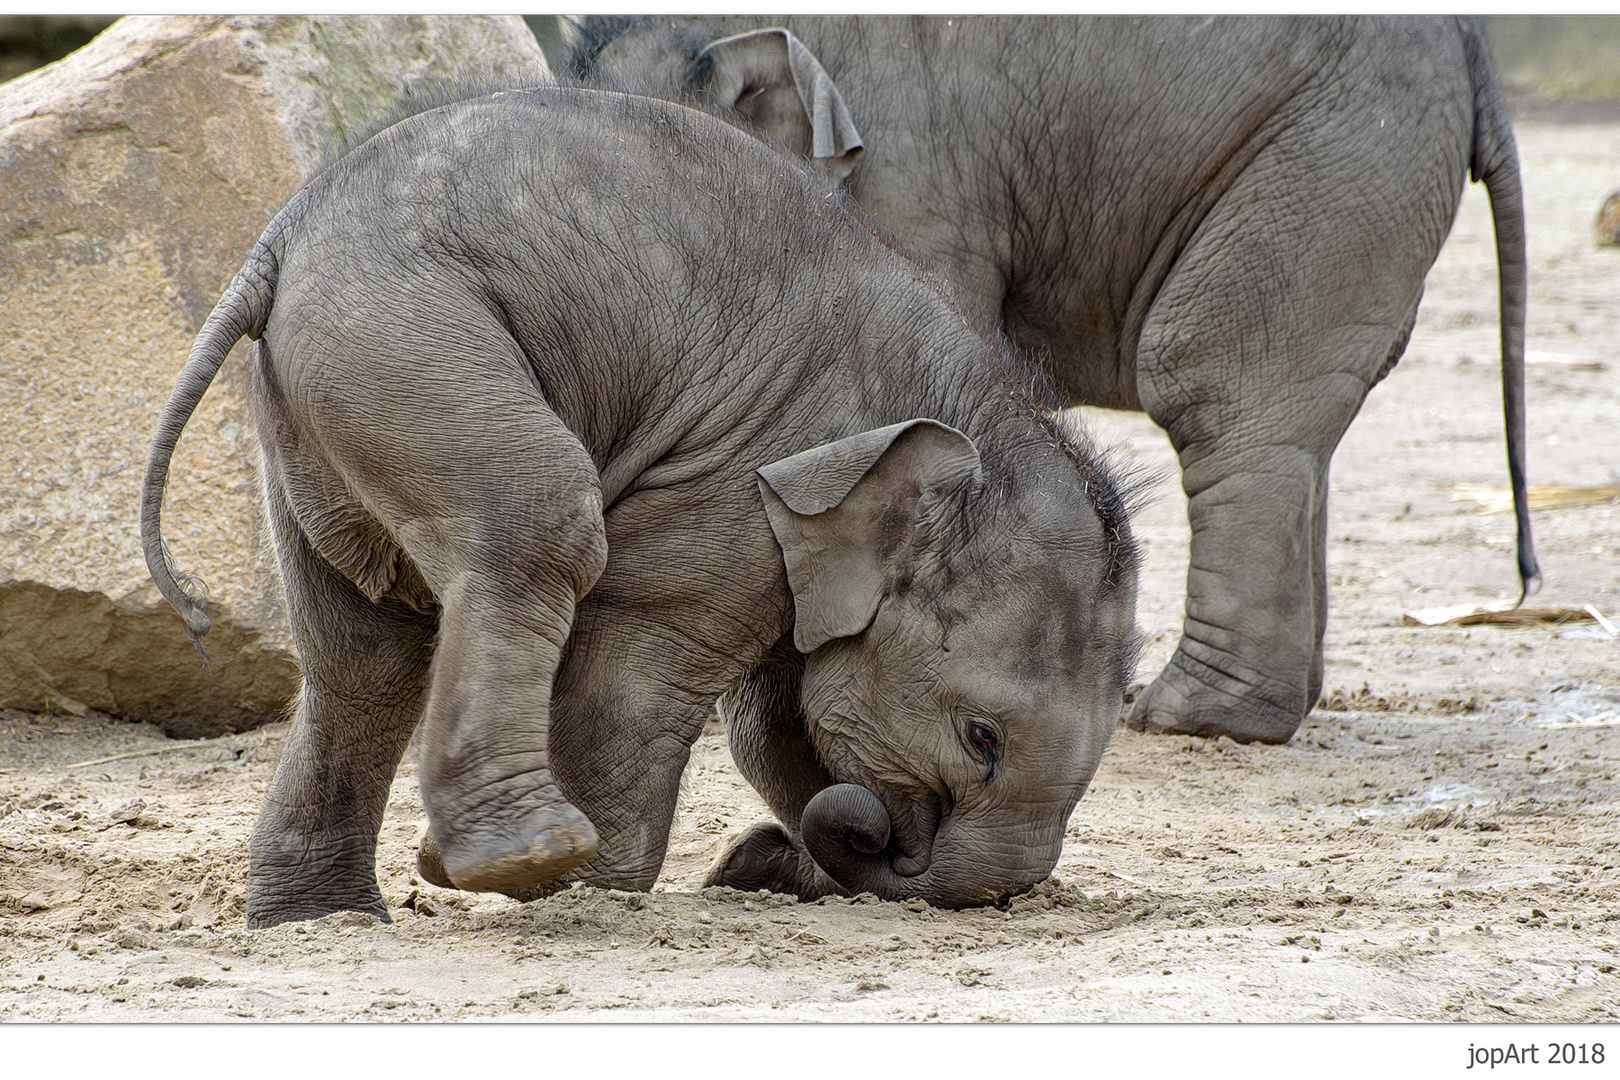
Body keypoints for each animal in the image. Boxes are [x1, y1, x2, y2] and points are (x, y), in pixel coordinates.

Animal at [145, 86, 1146, 932]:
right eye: (981, 737)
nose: (873, 841)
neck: (979, 419)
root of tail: (282, 237)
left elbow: (779, 721)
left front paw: (763, 868)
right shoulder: (737, 477)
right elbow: (640, 667)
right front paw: (592, 884)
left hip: (320, 394)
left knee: (363, 651)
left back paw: (318, 920)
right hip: (404, 338)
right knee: (536, 527)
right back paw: (525, 855)